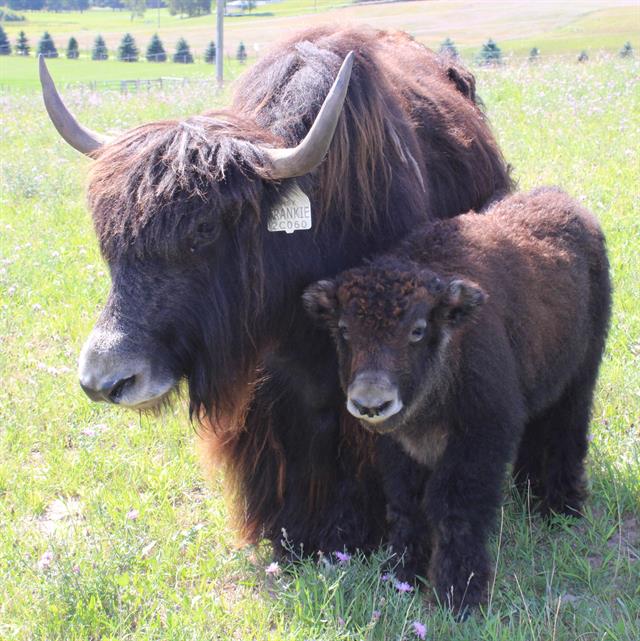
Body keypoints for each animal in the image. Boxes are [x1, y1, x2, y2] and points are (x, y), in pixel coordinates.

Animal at [303, 188, 611, 612]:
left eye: (417, 330)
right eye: (344, 330)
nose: (370, 403)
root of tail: (571, 206)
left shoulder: (480, 436)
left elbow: (452, 505)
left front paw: (459, 594)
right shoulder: (401, 448)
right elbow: (406, 503)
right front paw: (401, 575)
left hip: (581, 373)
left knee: (568, 430)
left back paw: (561, 506)